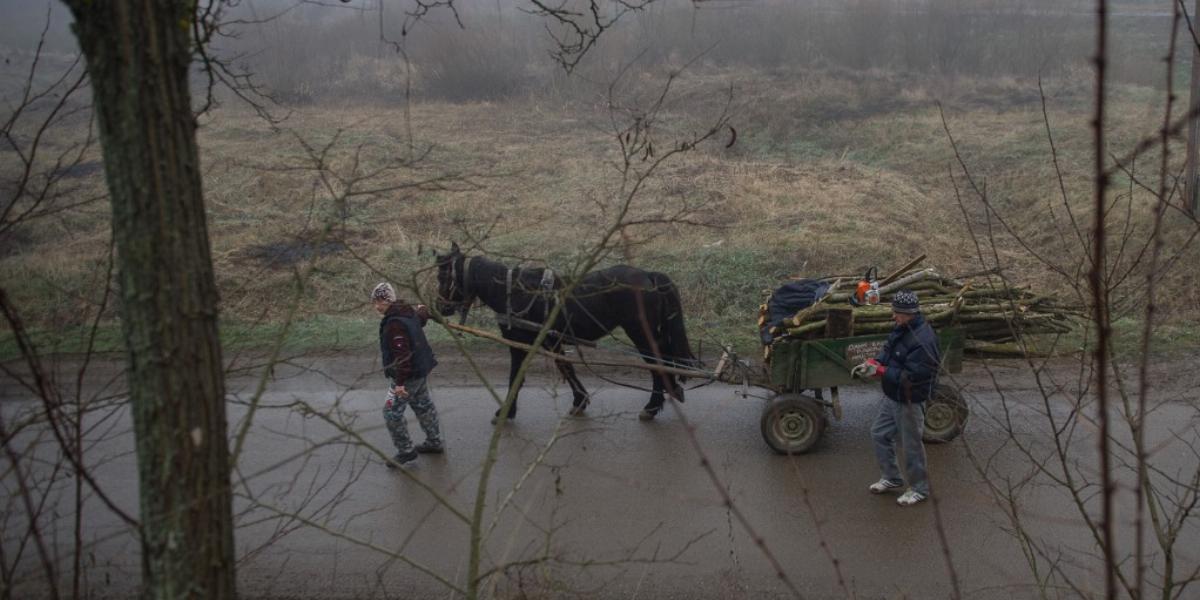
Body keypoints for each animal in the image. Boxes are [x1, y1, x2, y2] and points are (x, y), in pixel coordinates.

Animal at [434, 242, 696, 422]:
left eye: (443, 276)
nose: (439, 307)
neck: (515, 293)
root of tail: (648, 275)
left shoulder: (524, 342)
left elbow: (518, 375)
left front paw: (506, 411)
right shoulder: (550, 341)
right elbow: (565, 366)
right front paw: (580, 400)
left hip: (641, 332)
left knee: (656, 363)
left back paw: (652, 406)